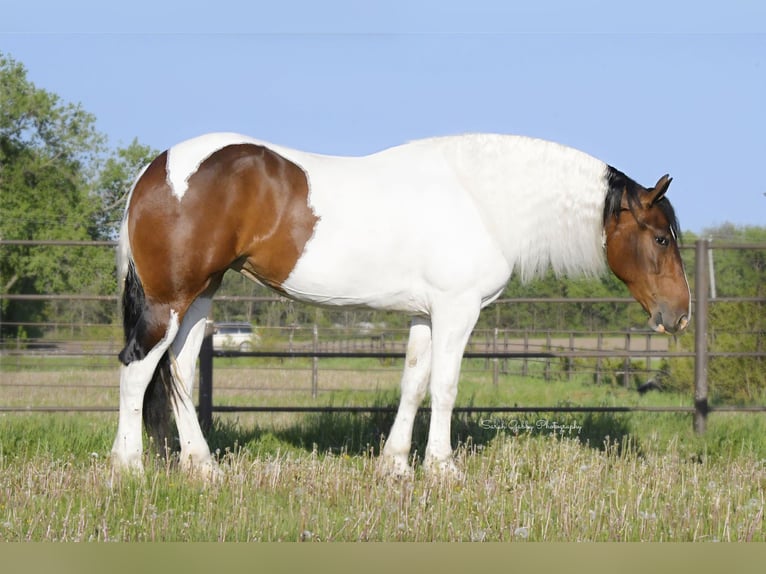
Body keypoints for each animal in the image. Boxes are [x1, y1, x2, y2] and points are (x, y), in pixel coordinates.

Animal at [111, 133, 692, 480]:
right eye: (662, 238)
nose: (679, 313)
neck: (481, 198)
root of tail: (156, 169)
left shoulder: (425, 313)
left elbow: (413, 382)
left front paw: (394, 466)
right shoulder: (457, 310)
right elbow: (445, 387)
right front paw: (442, 468)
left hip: (201, 296)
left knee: (179, 369)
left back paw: (202, 467)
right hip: (169, 300)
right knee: (138, 368)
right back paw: (129, 466)